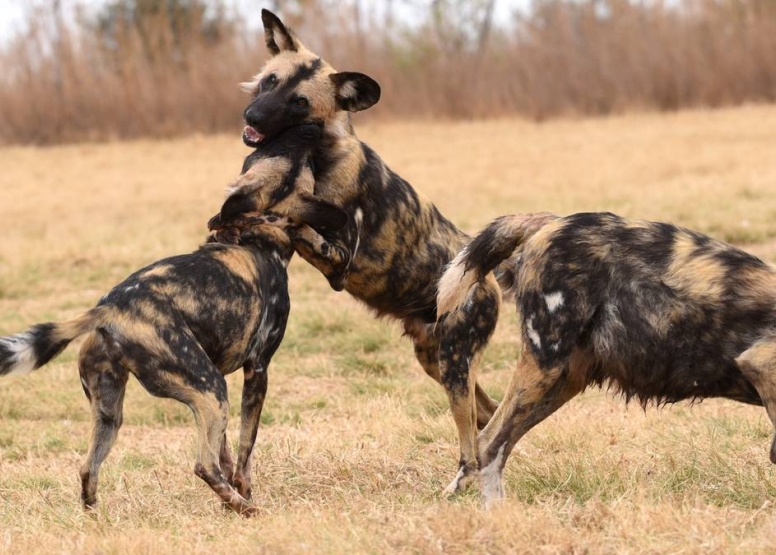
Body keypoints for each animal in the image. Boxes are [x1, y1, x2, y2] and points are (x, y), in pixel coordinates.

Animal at [0, 124, 346, 516]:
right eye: (295, 158)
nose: (311, 129)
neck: (255, 238)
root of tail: (111, 307)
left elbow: (226, 451)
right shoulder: (256, 371)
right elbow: (244, 453)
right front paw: (244, 493)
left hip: (115, 413)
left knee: (89, 468)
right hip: (212, 389)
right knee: (203, 465)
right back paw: (246, 509)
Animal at [236, 9, 504, 496]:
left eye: (299, 102)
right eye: (269, 81)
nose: (253, 116)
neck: (317, 153)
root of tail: (488, 276)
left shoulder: (338, 261)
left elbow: (290, 214)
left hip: (454, 365)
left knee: (470, 443)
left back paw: (457, 486)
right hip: (435, 362)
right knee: (488, 416)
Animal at [436, 212, 776, 504]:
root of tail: (554, 221)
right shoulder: (761, 364)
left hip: (563, 381)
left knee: (497, 442)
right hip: (545, 361)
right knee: (489, 442)